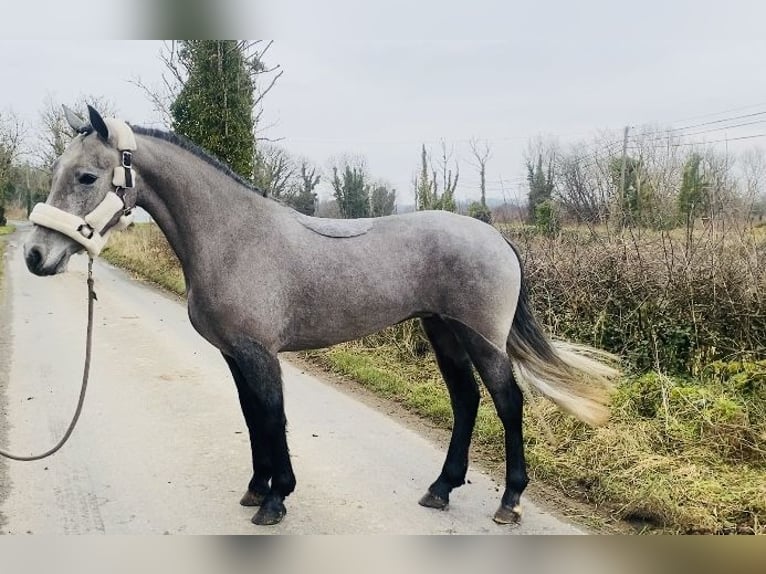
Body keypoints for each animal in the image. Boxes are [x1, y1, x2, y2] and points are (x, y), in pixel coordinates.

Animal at [25, 106, 616, 528]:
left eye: (86, 176)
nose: (34, 256)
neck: (233, 237)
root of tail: (495, 236)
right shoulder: (236, 355)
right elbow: (252, 418)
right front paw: (256, 489)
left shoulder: (260, 354)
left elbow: (272, 418)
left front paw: (276, 499)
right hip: (442, 330)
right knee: (467, 400)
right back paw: (441, 489)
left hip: (482, 339)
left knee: (508, 401)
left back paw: (510, 500)